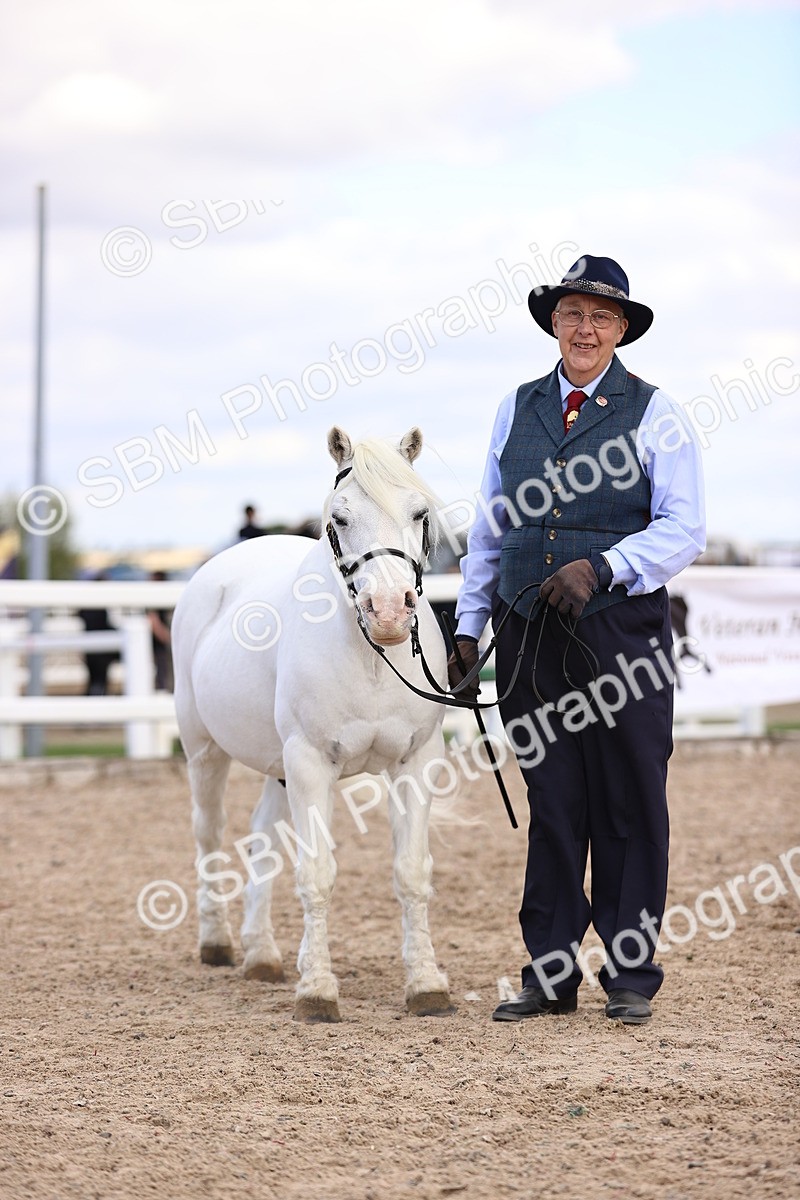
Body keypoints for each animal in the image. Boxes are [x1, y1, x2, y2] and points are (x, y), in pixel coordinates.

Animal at [171, 426, 455, 1023]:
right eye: (340, 517)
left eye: (419, 512)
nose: (389, 611)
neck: (372, 657)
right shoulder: (309, 763)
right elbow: (317, 875)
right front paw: (318, 991)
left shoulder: (416, 761)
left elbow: (412, 873)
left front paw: (426, 984)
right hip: (204, 751)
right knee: (209, 833)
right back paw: (218, 943)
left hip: (275, 768)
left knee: (260, 836)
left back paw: (262, 954)